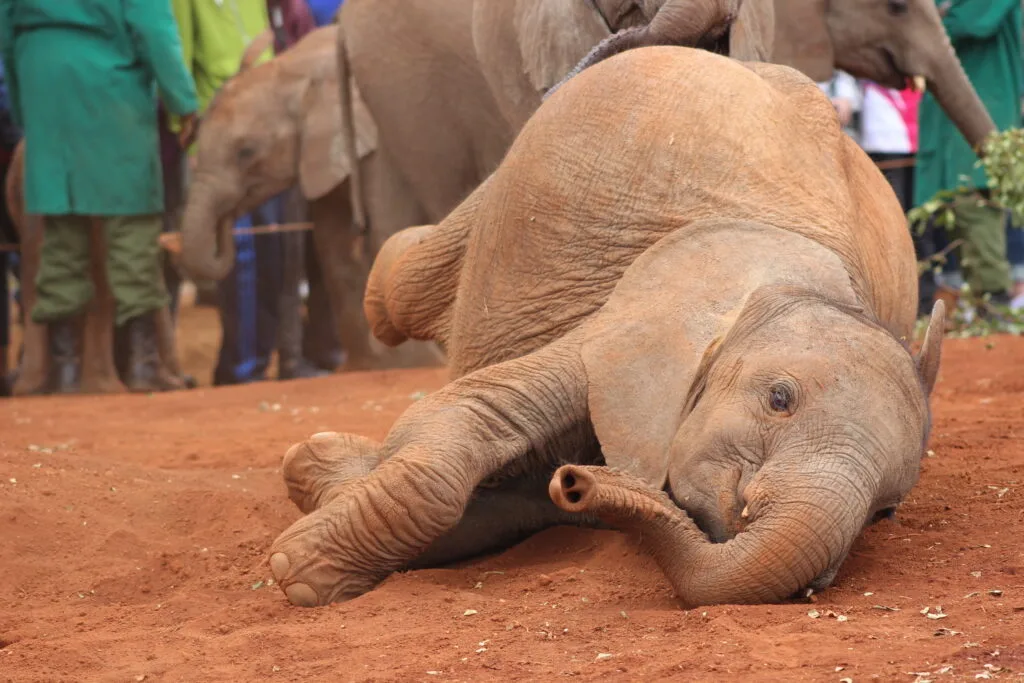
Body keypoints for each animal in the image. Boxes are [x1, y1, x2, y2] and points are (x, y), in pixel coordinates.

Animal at [178, 26, 444, 371]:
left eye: (246, 152)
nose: (227, 220)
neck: (291, 68)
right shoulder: (319, 155)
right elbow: (331, 242)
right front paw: (365, 366)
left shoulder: (378, 138)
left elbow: (385, 229)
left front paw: (416, 362)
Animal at [264, 47, 946, 608]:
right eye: (779, 399)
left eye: (885, 512)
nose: (575, 483)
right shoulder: (625, 322)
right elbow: (456, 426)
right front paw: (298, 572)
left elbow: (503, 503)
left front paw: (319, 481)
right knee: (405, 287)